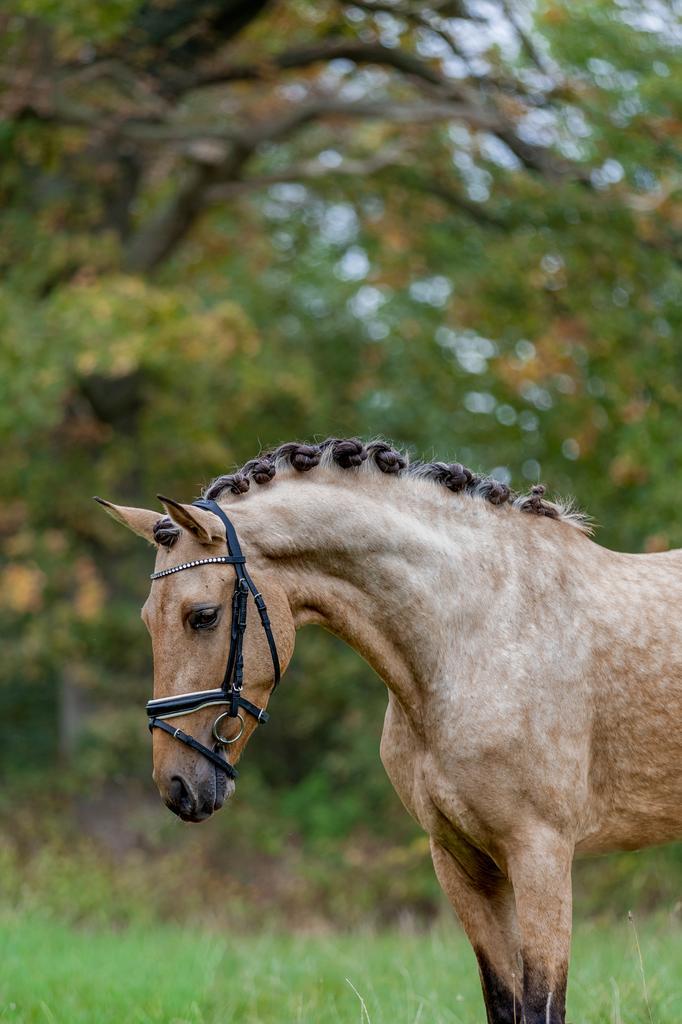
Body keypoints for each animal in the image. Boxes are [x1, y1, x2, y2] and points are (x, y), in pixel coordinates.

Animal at [96, 437, 682, 1024]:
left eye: (202, 615)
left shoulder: (541, 855)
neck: (479, 632)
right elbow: (503, 1002)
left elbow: (541, 1008)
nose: (177, 785)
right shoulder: (462, 861)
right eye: (149, 618)